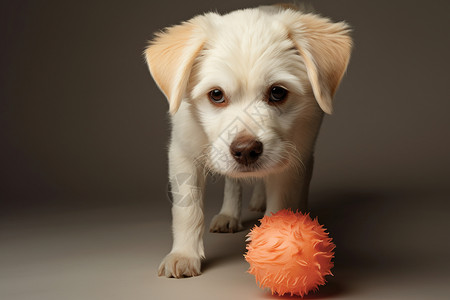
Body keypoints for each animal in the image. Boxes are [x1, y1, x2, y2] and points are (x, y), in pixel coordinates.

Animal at [144, 4, 352, 278]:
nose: (246, 151)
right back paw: (229, 214)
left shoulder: (290, 159)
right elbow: (187, 210)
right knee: (233, 182)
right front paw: (183, 255)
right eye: (216, 94)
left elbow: (281, 207)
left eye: (278, 92)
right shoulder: (182, 151)